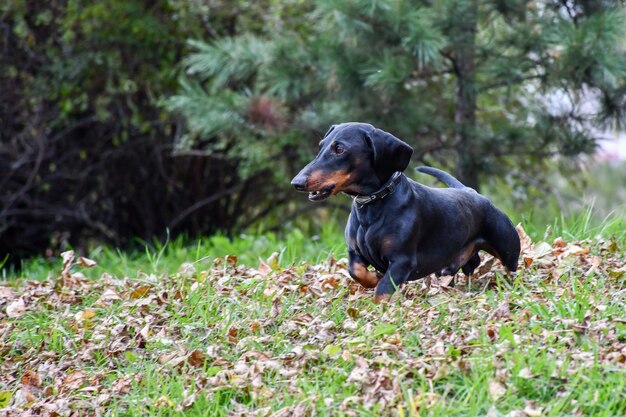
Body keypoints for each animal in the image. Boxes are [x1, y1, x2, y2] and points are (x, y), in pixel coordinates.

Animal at [290, 122, 520, 300]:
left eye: (340, 149)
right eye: (321, 146)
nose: (296, 183)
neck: (373, 205)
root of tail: (470, 191)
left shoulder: (402, 260)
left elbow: (382, 291)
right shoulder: (354, 252)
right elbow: (356, 272)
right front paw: (373, 278)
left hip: (508, 250)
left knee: (511, 266)